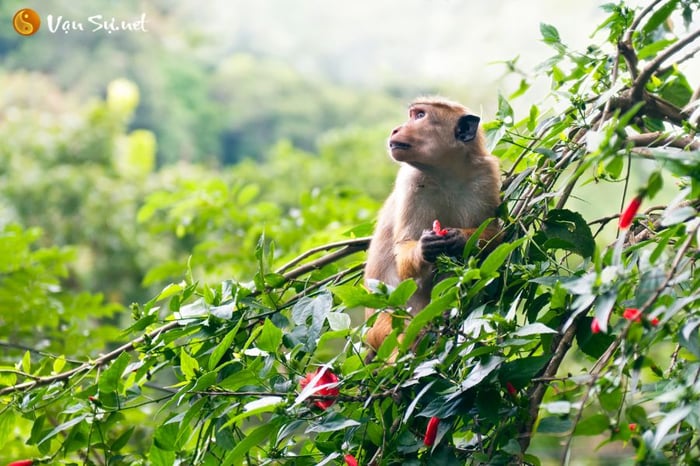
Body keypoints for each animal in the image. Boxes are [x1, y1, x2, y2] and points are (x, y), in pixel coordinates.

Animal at [364, 94, 500, 356]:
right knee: (407, 332)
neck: (445, 172)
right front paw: (424, 247)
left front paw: (459, 238)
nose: (396, 129)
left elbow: (496, 233)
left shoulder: (485, 175)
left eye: (420, 116)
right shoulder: (411, 181)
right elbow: (403, 249)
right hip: (382, 328)